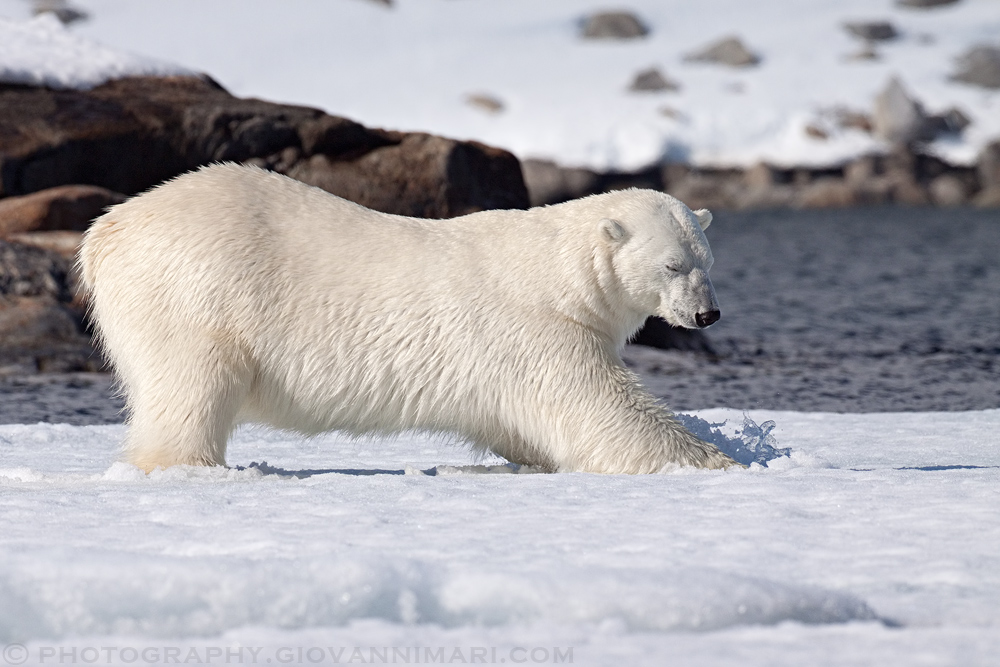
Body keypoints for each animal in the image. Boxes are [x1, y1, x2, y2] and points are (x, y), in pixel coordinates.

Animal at [79, 163, 736, 473]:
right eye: (673, 265)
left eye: (707, 261)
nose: (706, 314)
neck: (557, 275)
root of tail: (106, 232)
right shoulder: (534, 330)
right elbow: (600, 406)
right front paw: (717, 459)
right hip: (192, 295)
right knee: (190, 388)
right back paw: (186, 466)